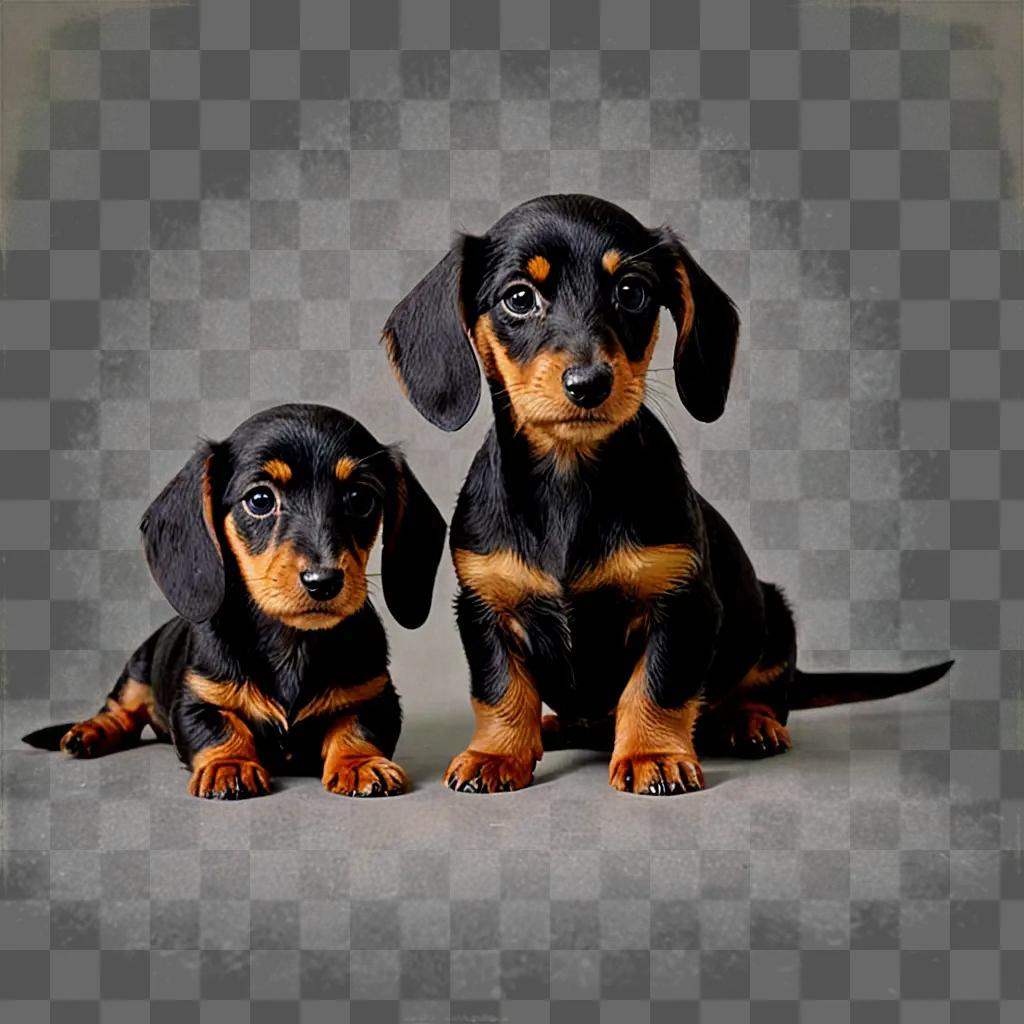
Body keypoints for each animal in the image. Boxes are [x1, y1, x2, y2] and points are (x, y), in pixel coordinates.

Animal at [24, 401, 446, 798]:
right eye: (259, 499)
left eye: (360, 499)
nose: (323, 581)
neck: (292, 643)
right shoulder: (196, 700)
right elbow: (221, 728)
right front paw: (230, 765)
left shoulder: (377, 697)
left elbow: (357, 726)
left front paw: (361, 764)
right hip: (137, 668)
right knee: (120, 711)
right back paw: (88, 733)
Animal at [382, 193, 950, 798]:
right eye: (518, 298)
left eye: (631, 292)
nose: (589, 384)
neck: (569, 481)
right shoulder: (484, 607)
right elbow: (499, 690)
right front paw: (494, 755)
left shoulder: (683, 603)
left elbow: (657, 687)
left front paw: (652, 754)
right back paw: (558, 725)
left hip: (773, 617)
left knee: (764, 690)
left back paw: (750, 722)